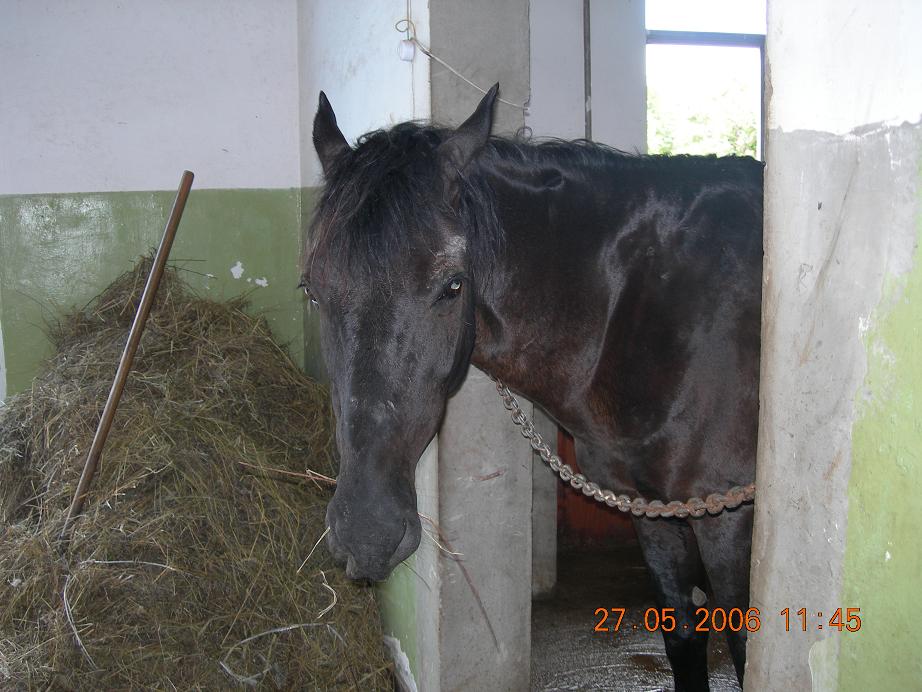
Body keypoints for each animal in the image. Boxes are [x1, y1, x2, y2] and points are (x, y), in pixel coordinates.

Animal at [304, 88, 760, 692]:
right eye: (312, 291)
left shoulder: (726, 516)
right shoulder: (650, 511)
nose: (366, 533)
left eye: (453, 286)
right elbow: (683, 637)